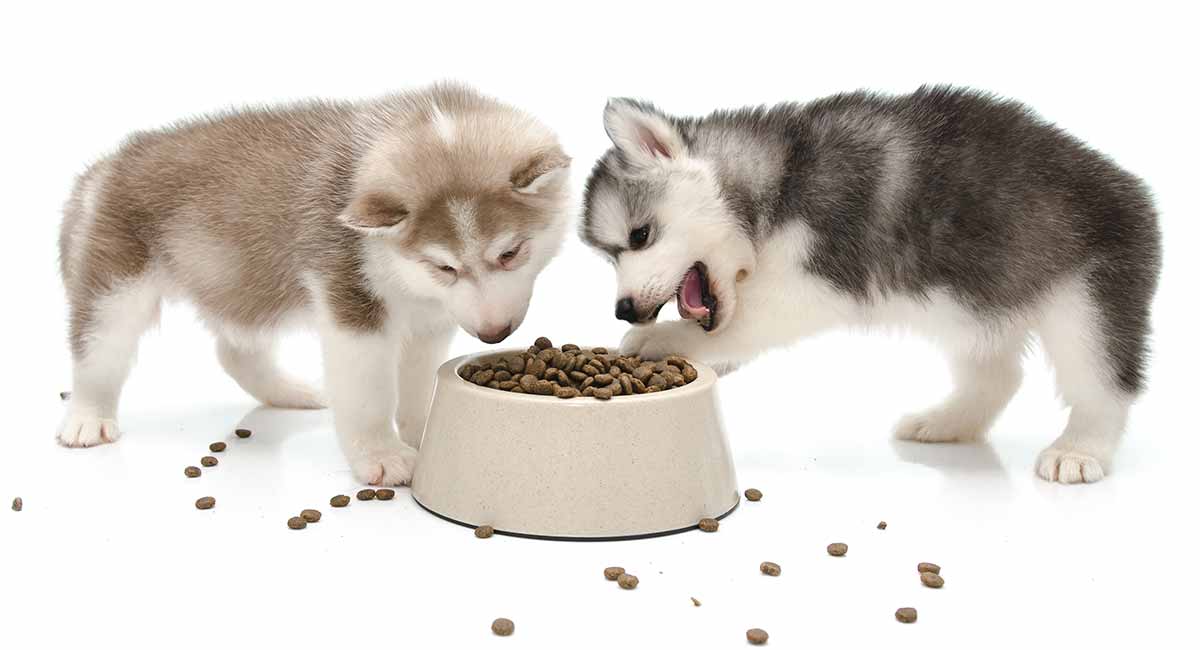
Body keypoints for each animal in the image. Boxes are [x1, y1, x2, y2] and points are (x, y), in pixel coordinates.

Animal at [58, 83, 573, 486]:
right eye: (444, 267)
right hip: (116, 288)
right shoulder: (350, 299)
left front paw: (425, 428)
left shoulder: (429, 319)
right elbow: (368, 392)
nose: (493, 334)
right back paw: (87, 418)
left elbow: (417, 377)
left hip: (243, 278)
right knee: (98, 354)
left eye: (510, 253)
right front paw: (381, 455)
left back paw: (291, 392)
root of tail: (104, 166)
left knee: (234, 349)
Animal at [580, 86, 1161, 484]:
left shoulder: (811, 279)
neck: (777, 184)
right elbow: (731, 331)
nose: (624, 309)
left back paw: (1080, 450)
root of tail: (1135, 190)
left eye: (639, 235)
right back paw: (947, 421)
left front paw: (660, 338)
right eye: (608, 255)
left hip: (1086, 303)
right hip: (975, 305)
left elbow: (748, 321)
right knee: (999, 375)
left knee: (1103, 386)